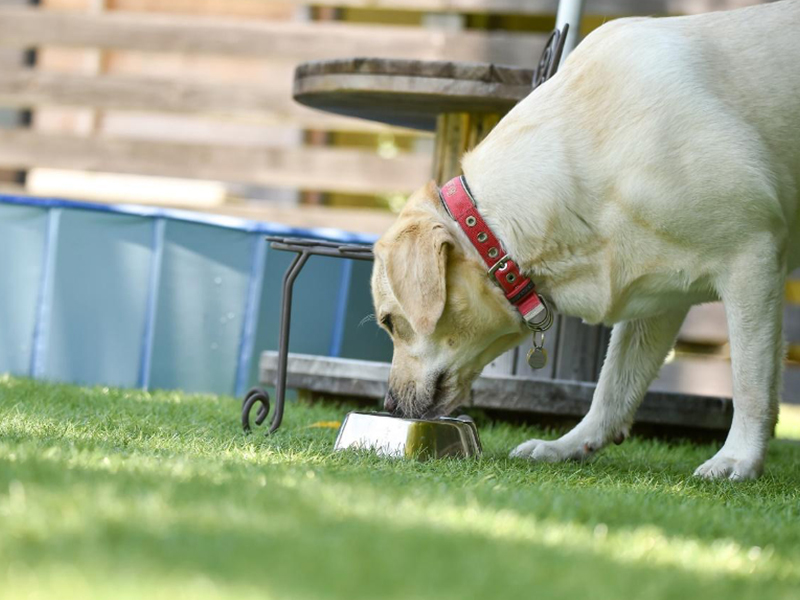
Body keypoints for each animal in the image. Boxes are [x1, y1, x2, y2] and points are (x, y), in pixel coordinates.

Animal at [370, 0, 800, 478]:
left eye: (390, 323)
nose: (389, 406)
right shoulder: (661, 298)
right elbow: (613, 385)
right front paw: (570, 445)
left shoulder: (753, 256)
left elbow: (750, 381)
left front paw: (738, 458)